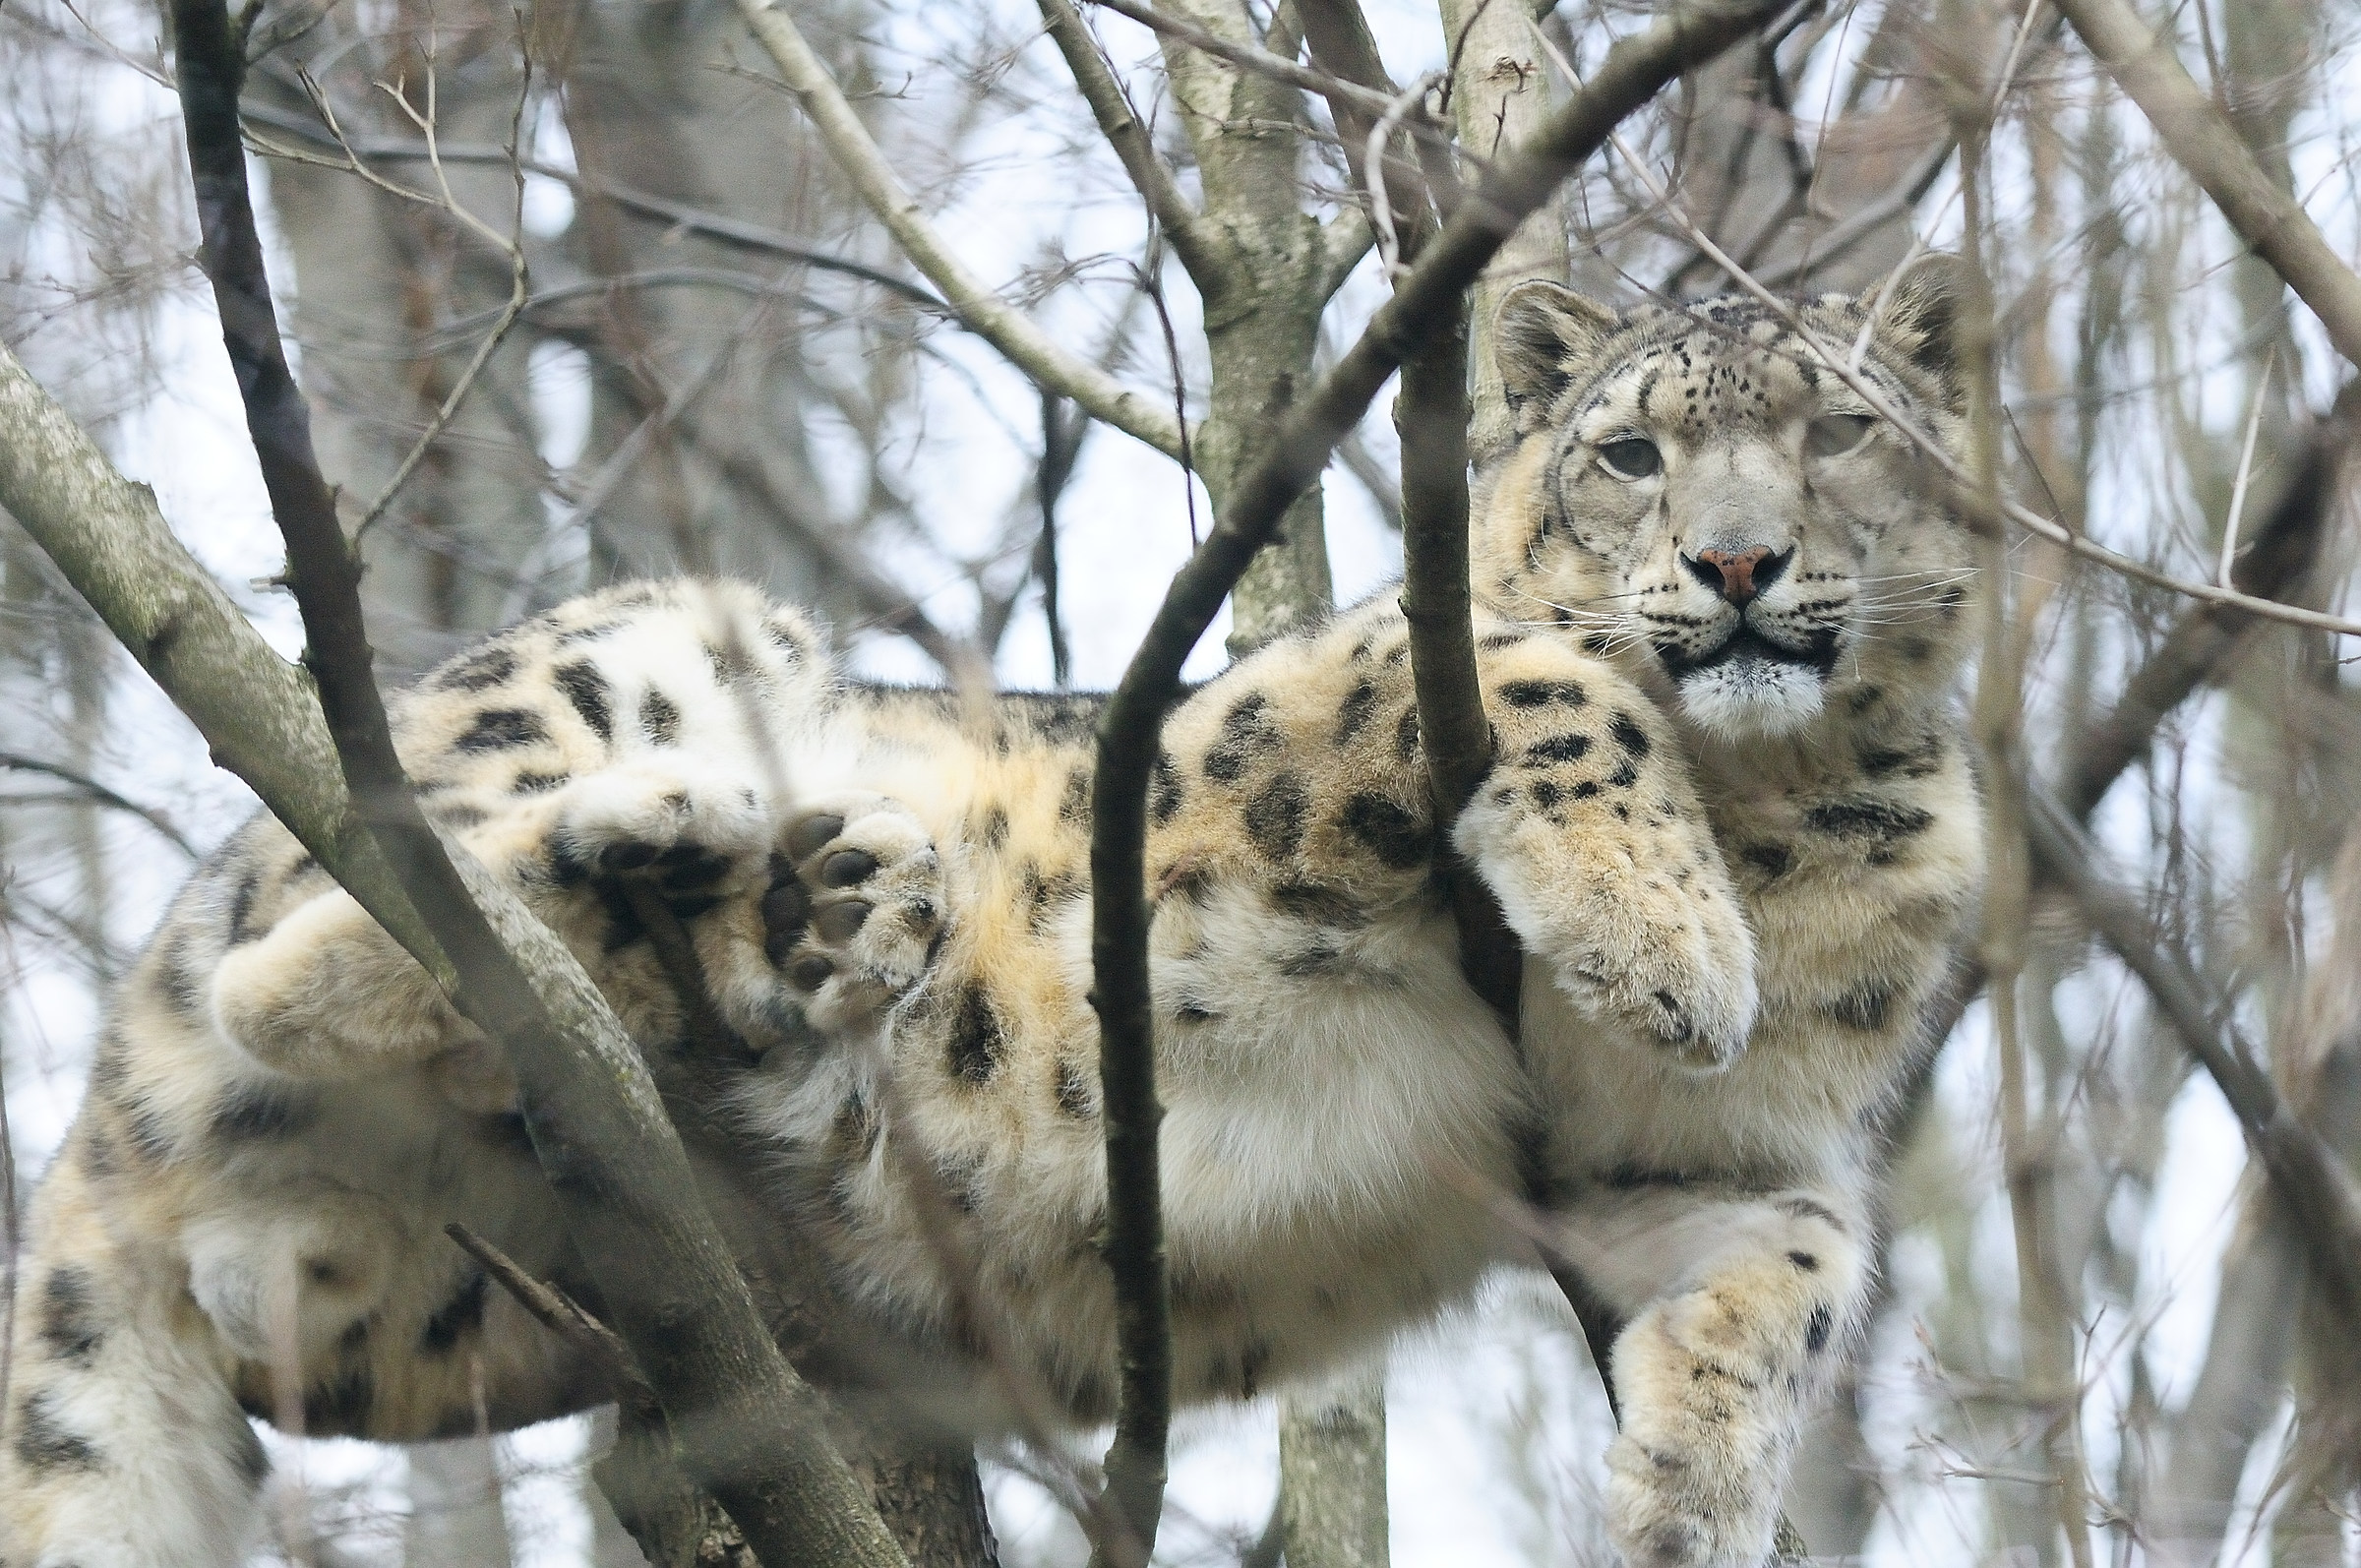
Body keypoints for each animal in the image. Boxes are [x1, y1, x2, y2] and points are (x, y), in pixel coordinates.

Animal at [0, 262, 1982, 1568]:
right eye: (1631, 454)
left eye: (1841, 430)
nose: (1738, 563)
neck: (1776, 803)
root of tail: (98, 1130)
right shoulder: (1255, 730)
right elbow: (1555, 664)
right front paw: (1671, 944)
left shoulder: (1688, 1161)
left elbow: (1805, 1271)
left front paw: (1687, 1499)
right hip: (617, 658)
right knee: (309, 924)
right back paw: (698, 826)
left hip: (428, 1299)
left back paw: (802, 916)